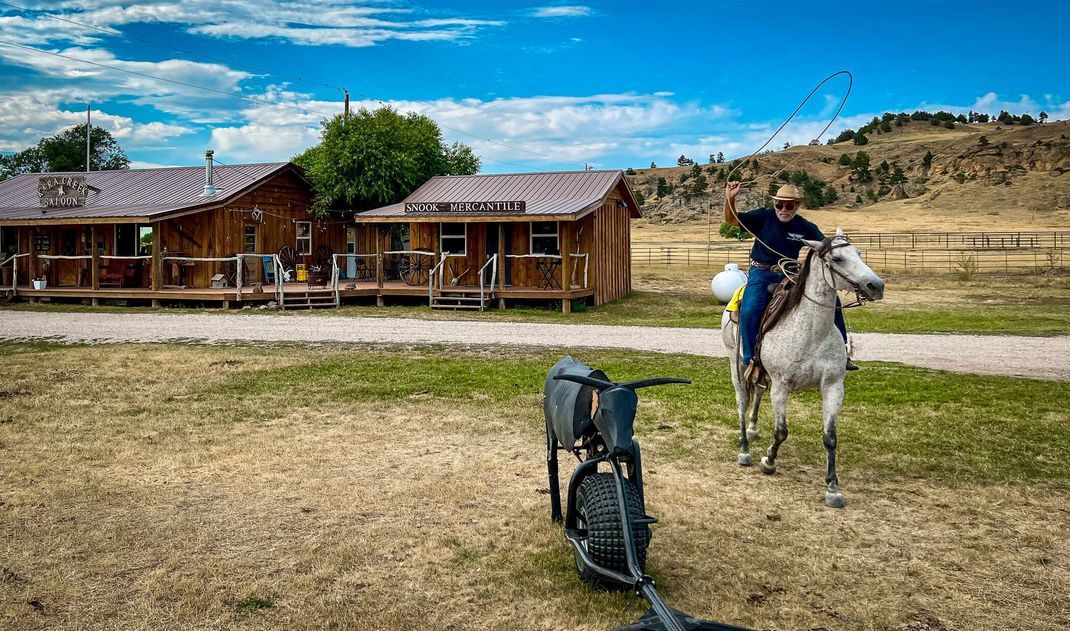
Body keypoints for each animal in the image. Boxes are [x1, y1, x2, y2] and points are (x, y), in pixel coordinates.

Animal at [719, 232, 885, 509]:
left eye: (859, 253)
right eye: (837, 258)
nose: (876, 285)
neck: (812, 332)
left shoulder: (833, 386)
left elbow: (830, 437)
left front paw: (833, 488)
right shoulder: (781, 386)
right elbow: (781, 431)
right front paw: (768, 461)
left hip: (760, 370)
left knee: (758, 392)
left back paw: (752, 429)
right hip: (736, 361)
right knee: (742, 400)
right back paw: (745, 449)